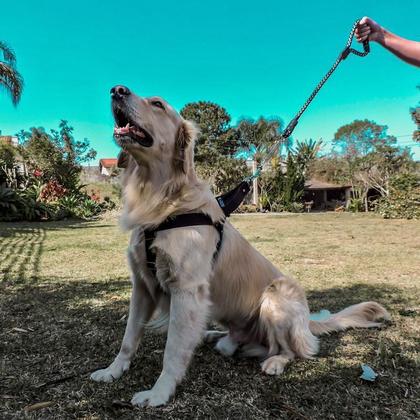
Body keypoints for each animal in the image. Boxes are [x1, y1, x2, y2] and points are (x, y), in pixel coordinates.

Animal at [91, 85, 390, 406]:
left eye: (157, 104)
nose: (117, 90)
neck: (160, 200)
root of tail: (307, 322)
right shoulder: (142, 286)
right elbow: (128, 337)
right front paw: (112, 371)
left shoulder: (186, 289)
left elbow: (173, 350)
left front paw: (159, 392)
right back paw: (213, 336)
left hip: (275, 297)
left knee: (291, 350)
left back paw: (275, 361)